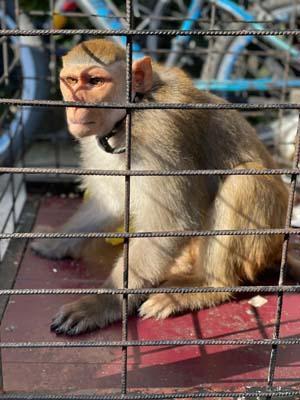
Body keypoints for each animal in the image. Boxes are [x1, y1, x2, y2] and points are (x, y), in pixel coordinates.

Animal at [31, 39, 296, 336]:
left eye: (95, 81)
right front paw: (55, 241)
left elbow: (169, 223)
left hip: (264, 239)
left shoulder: (160, 133)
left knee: (243, 180)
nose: (75, 105)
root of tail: (278, 247)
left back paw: (208, 286)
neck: (131, 113)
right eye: (71, 81)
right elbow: (109, 205)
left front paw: (103, 303)